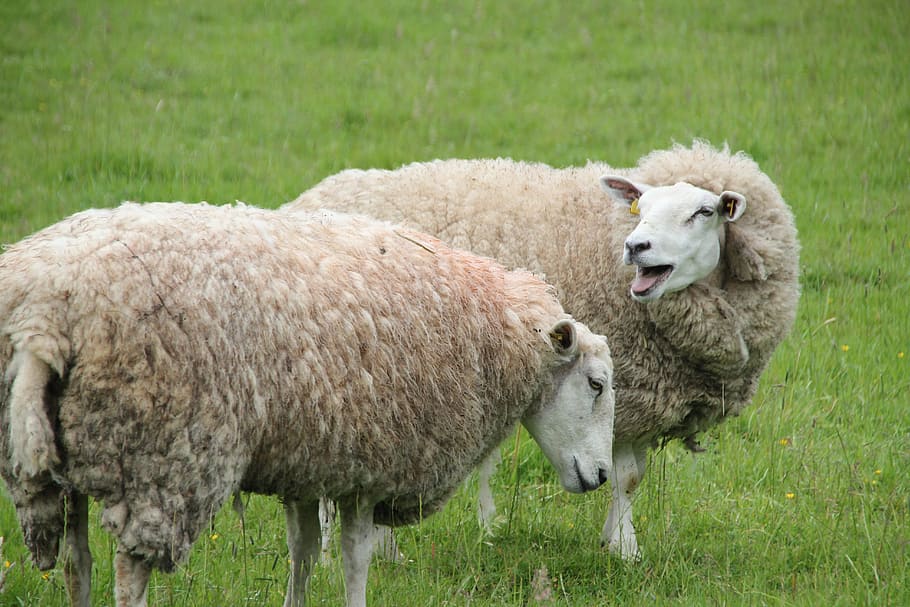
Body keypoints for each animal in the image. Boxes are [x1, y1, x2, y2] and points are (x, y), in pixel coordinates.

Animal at [0, 202, 616, 607]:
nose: (604, 476)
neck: (491, 335)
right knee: (130, 575)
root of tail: (43, 319)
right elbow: (354, 557)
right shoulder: (371, 464)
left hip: (68, 458)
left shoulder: (309, 456)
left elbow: (303, 552)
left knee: (76, 564)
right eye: (596, 384)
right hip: (164, 459)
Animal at [286, 140, 801, 560]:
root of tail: (307, 199)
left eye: (704, 211)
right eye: (641, 210)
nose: (636, 246)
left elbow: (631, 476)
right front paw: (624, 549)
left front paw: (618, 546)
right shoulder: (629, 390)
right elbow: (625, 476)